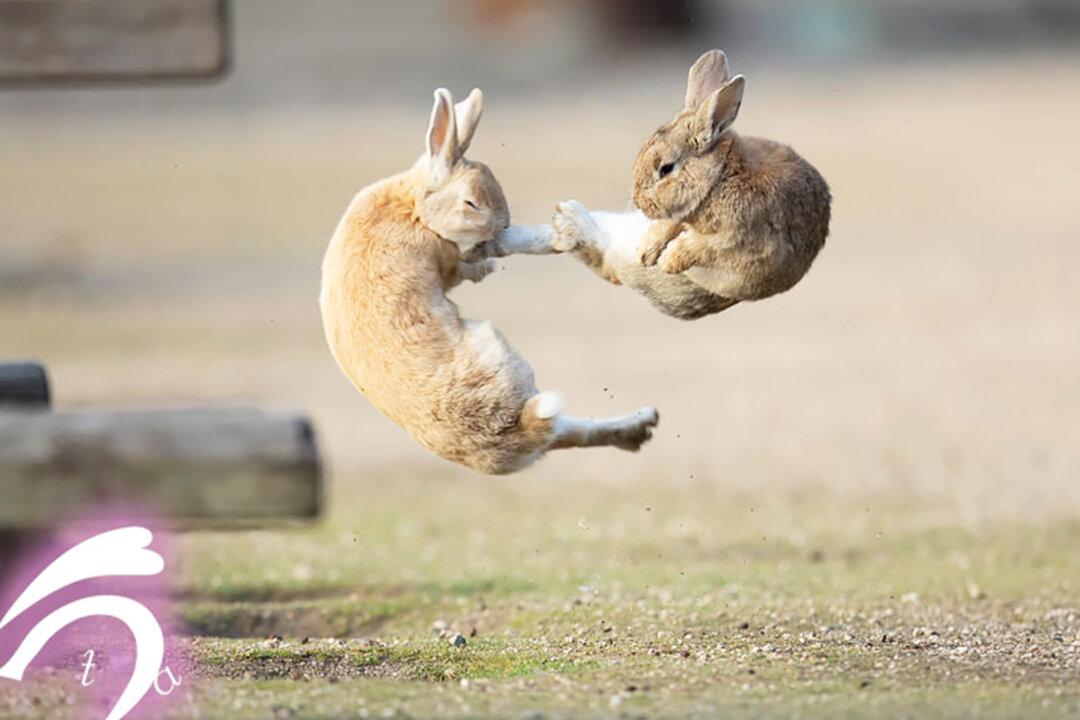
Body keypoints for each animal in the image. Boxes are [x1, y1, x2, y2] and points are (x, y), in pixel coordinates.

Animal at [319, 88, 659, 475]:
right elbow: (470, 263)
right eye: (471, 203)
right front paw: (502, 259)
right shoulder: (448, 258)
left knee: (570, 433)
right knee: (563, 429)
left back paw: (641, 424)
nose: (503, 225)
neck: (415, 208)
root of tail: (518, 430)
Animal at [532, 49, 831, 320]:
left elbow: (699, 248)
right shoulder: (679, 215)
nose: (640, 203)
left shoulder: (737, 239)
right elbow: (670, 226)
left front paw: (667, 261)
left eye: (666, 169)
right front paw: (648, 251)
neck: (718, 178)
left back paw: (569, 220)